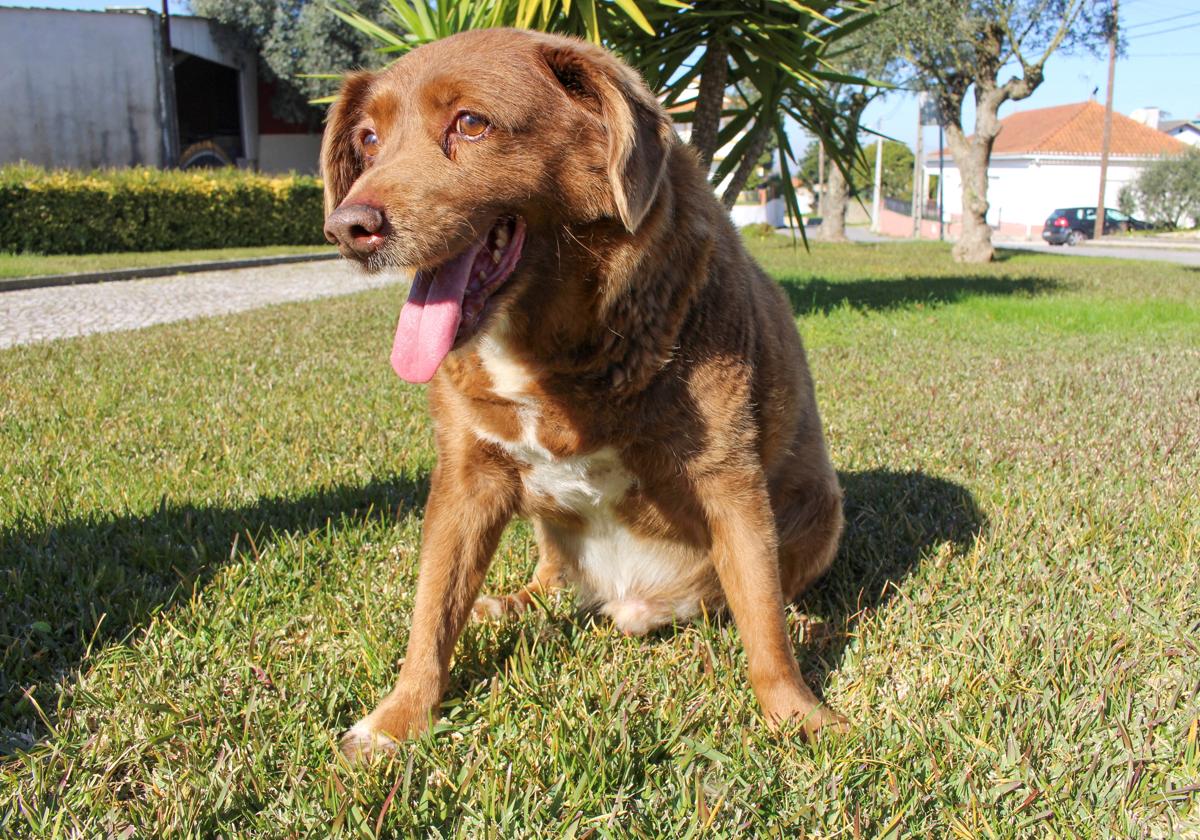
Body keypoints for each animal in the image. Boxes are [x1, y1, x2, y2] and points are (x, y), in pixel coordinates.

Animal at [319, 27, 844, 763]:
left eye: (471, 124)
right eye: (367, 139)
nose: (348, 228)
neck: (548, 346)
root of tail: (628, 598)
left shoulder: (729, 478)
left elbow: (763, 622)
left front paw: (798, 715)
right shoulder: (466, 476)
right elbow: (432, 611)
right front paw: (398, 718)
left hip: (823, 512)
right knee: (547, 583)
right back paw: (506, 604)